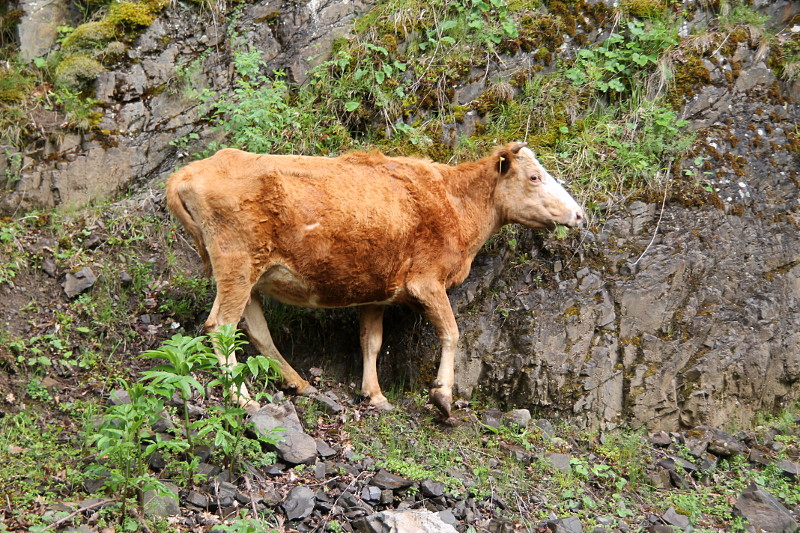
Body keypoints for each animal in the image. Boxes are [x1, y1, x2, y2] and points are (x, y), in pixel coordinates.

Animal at [166, 142, 584, 420]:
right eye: (534, 176)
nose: (579, 214)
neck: (454, 201)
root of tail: (189, 171)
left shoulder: (375, 292)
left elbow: (371, 341)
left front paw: (375, 394)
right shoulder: (426, 281)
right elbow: (451, 332)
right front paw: (443, 396)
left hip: (247, 275)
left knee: (255, 331)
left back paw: (298, 383)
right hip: (237, 263)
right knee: (220, 326)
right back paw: (241, 397)